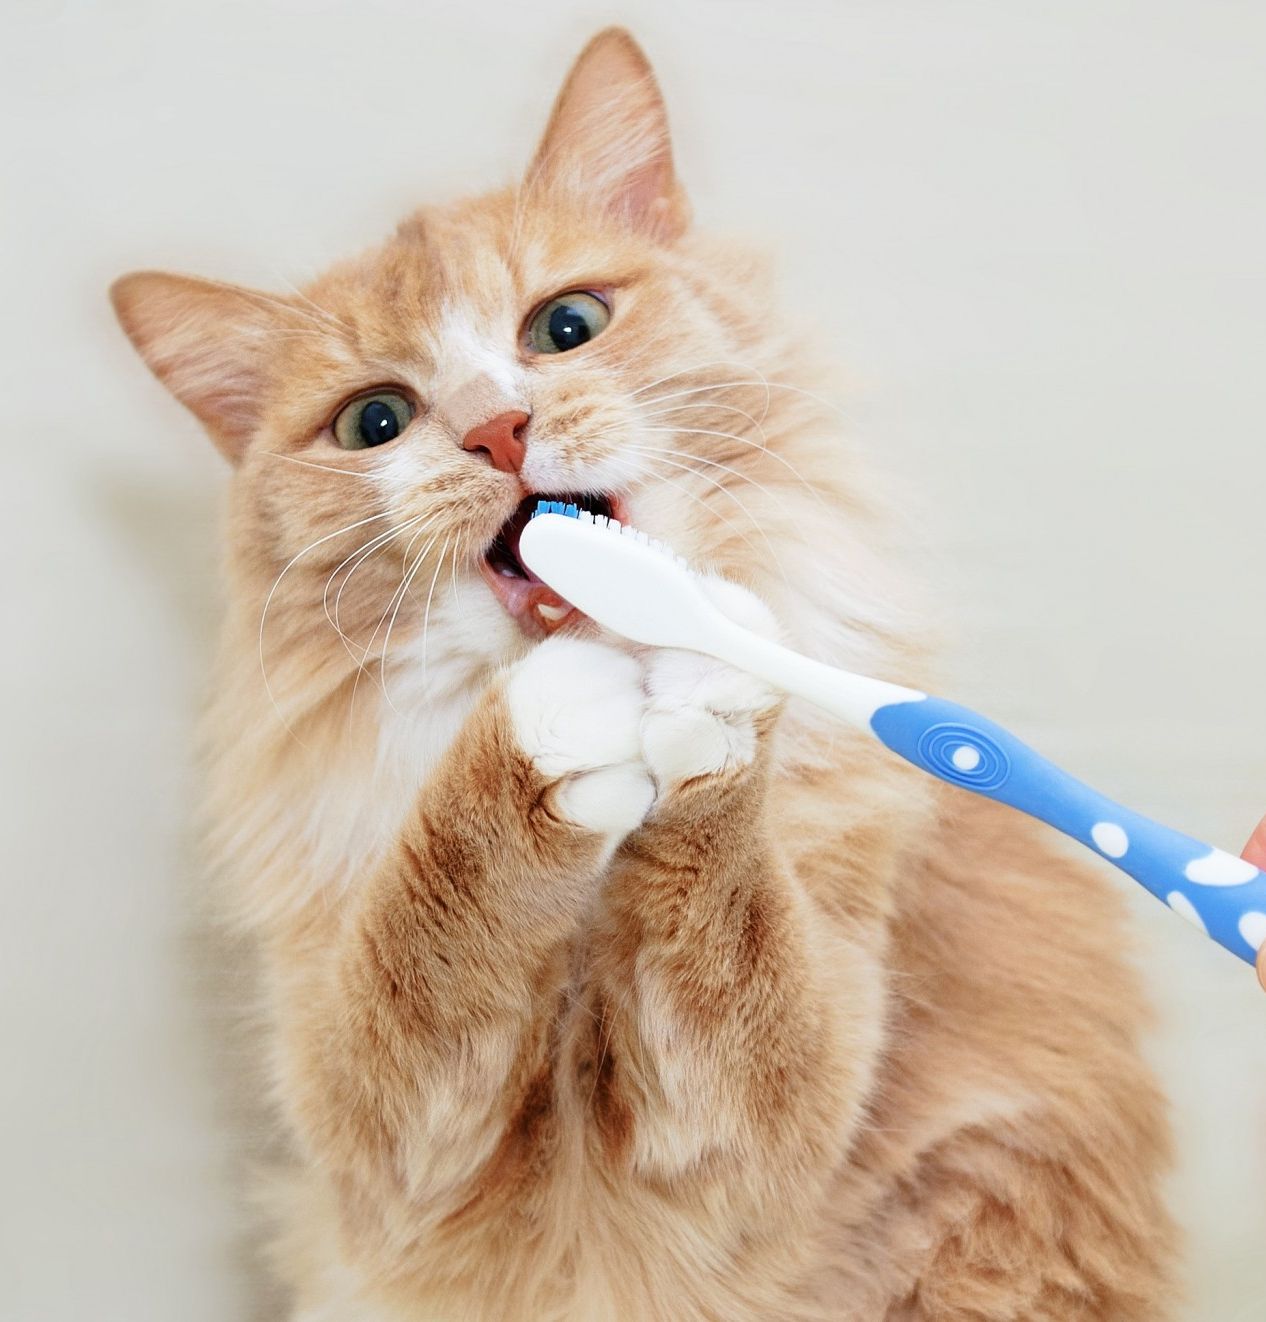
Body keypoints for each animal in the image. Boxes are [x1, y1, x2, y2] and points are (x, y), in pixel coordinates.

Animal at [109, 23, 1178, 1322]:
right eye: (375, 421)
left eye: (564, 326)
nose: (498, 431)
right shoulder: (381, 1130)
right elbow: (434, 910)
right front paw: (554, 724)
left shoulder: (785, 1091)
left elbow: (731, 918)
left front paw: (689, 676)